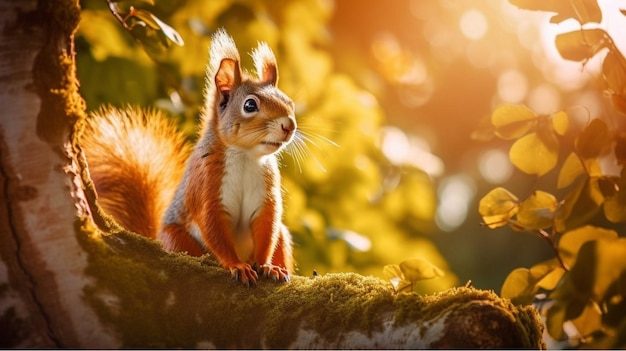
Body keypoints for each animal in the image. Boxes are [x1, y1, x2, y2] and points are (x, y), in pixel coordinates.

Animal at [80, 28, 294, 286]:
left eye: (289, 102)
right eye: (250, 105)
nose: (289, 126)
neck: (246, 155)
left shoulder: (266, 195)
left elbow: (267, 228)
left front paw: (266, 265)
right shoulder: (206, 184)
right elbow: (212, 226)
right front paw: (236, 265)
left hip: (283, 234)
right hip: (175, 237)